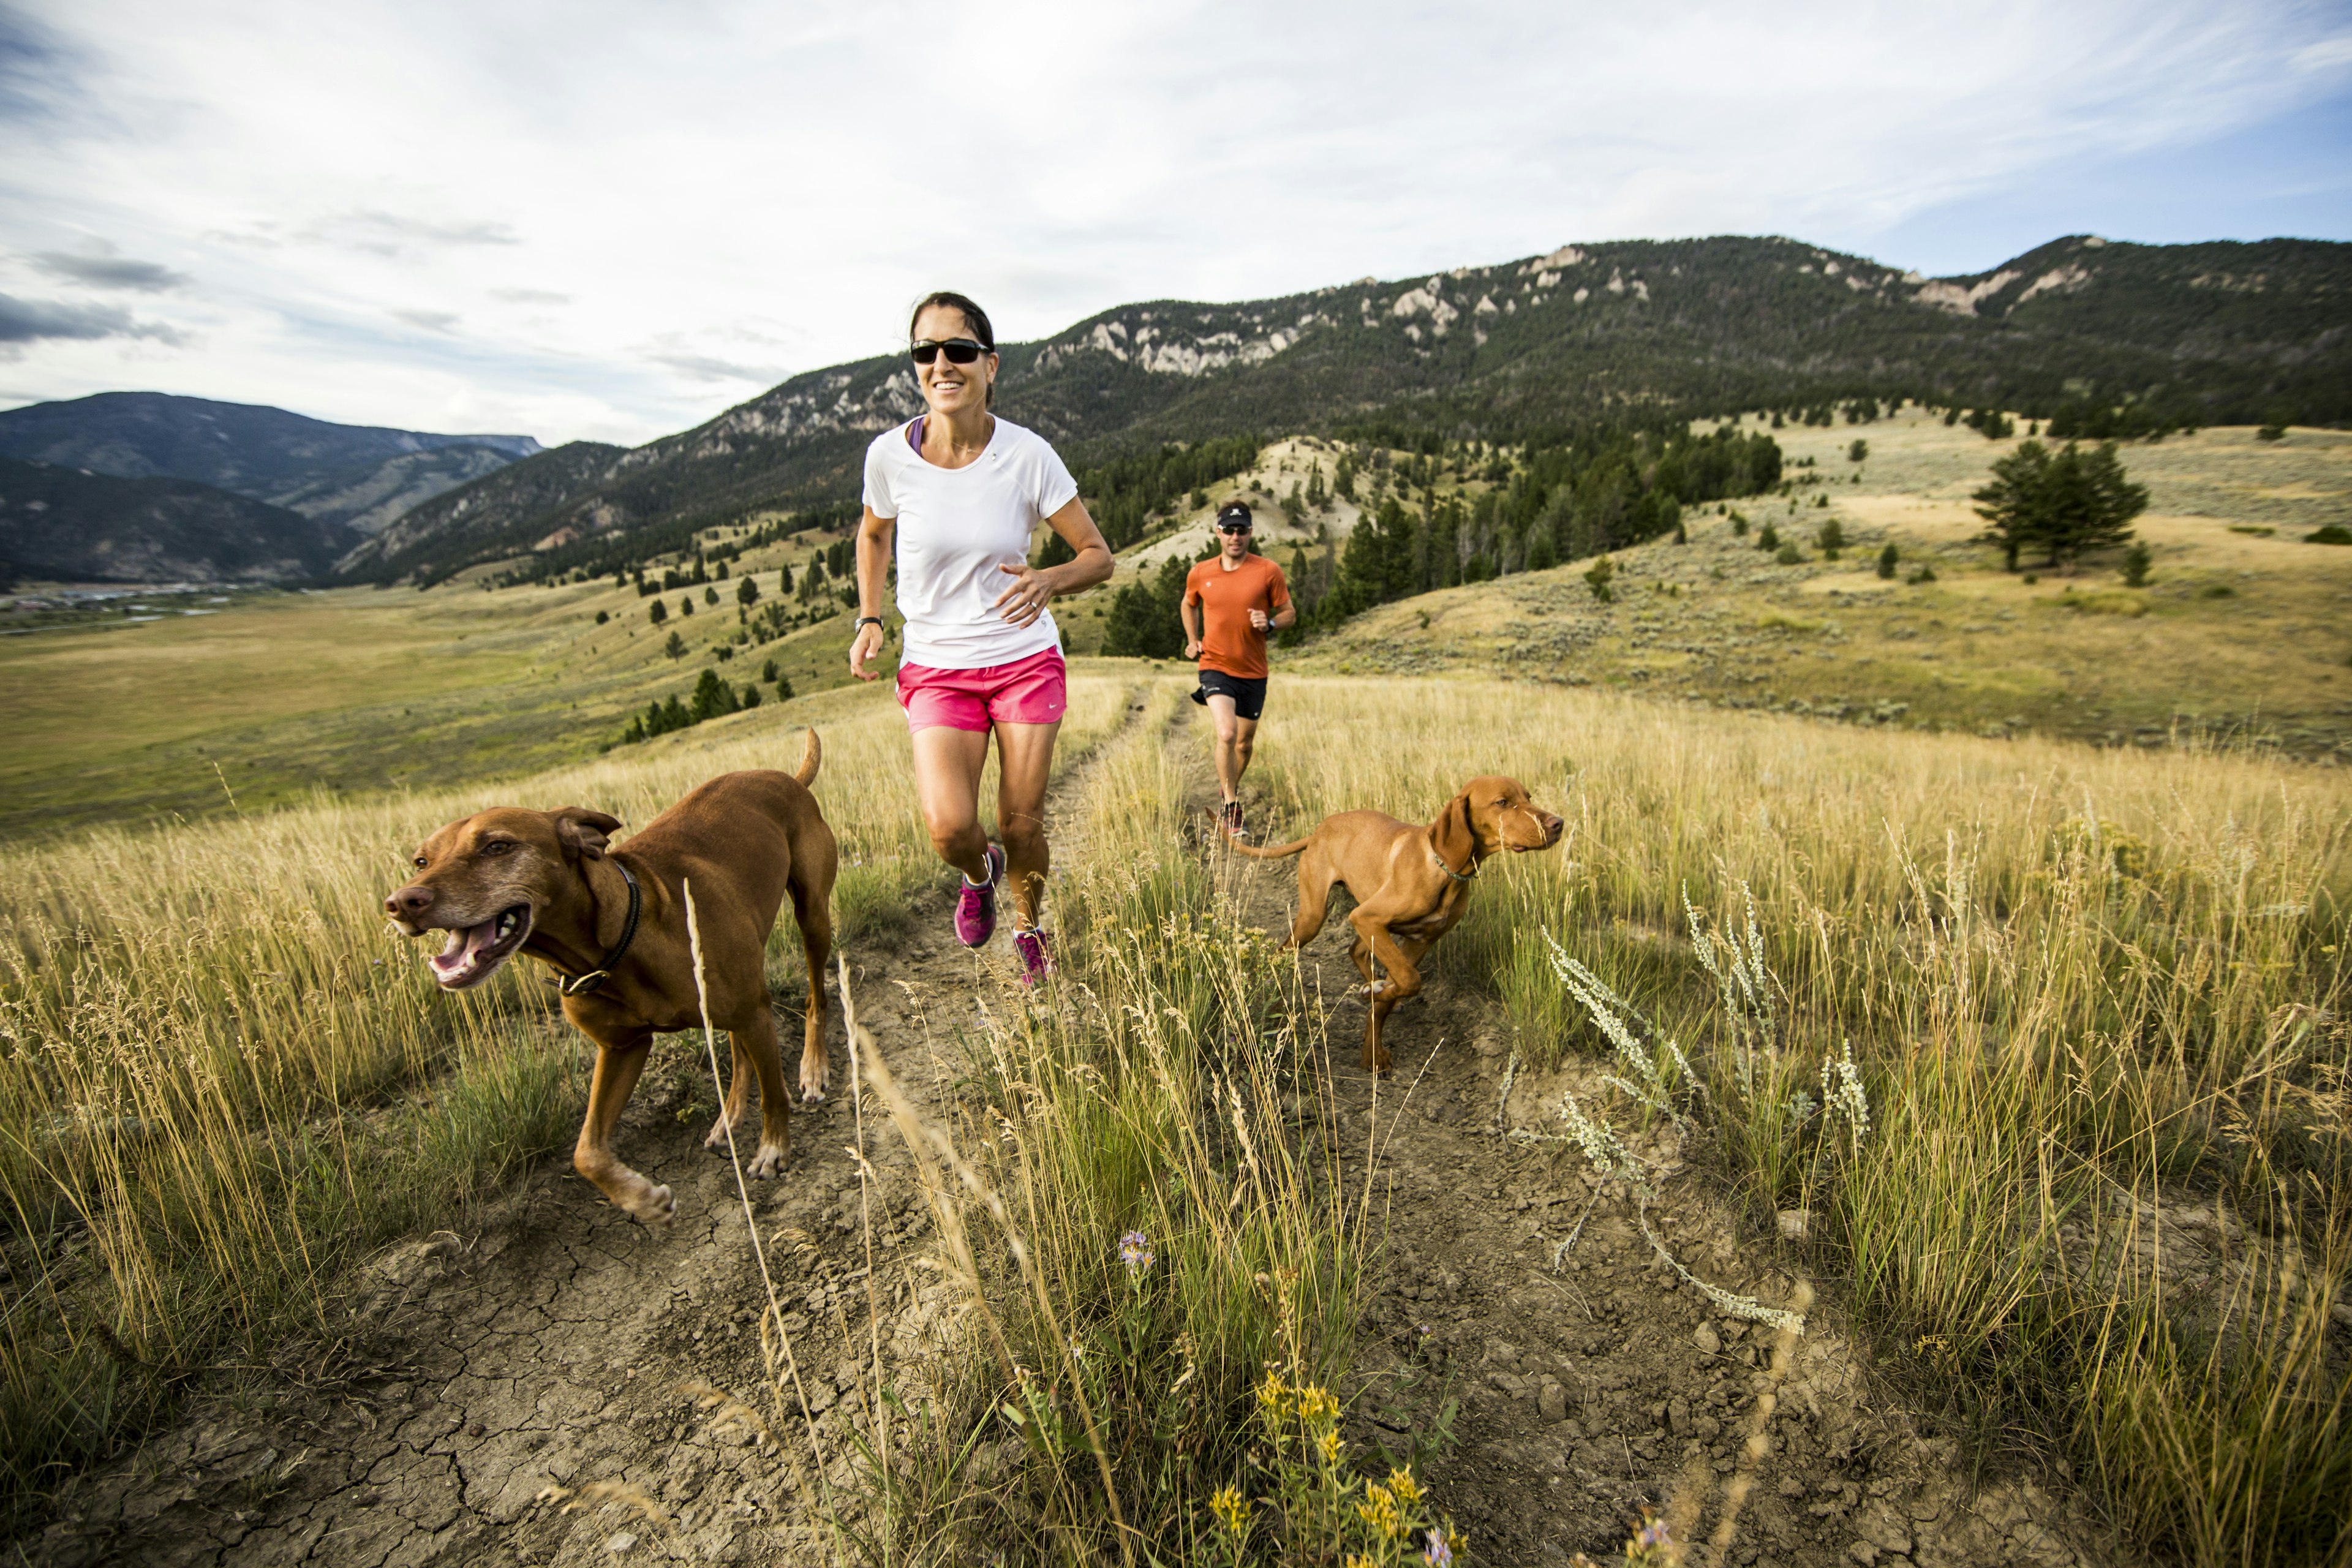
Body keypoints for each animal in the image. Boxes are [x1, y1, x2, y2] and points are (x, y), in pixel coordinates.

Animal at [395, 728, 846, 1232]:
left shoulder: (751, 1013)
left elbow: (775, 1095)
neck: (616, 944)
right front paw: (642, 1199)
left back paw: (812, 1067)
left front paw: (773, 1148)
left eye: (497, 847)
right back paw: (728, 1115)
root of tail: (789, 779)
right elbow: (586, 1151)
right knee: (736, 1046)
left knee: (815, 998)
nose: (401, 903)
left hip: (811, 915)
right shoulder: (621, 1048)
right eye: (420, 861)